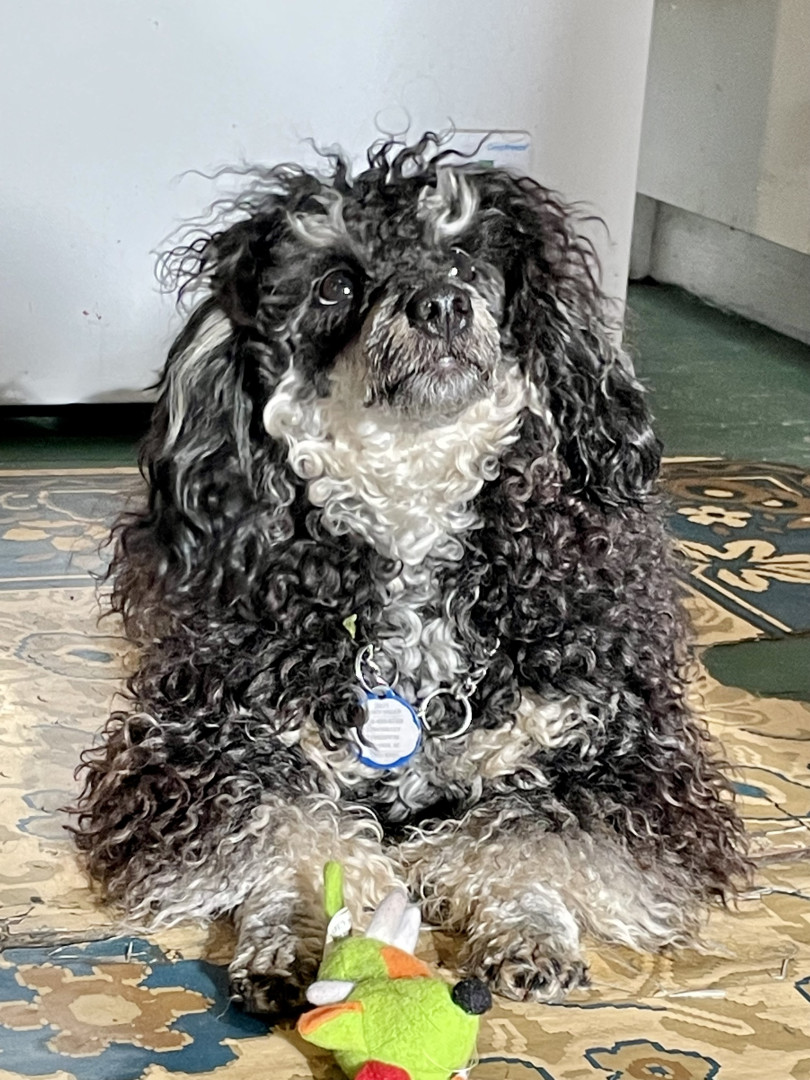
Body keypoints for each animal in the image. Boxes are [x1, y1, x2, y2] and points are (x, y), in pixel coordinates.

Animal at [74, 135, 749, 1015]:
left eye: (464, 257)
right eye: (335, 283)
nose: (441, 305)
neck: (414, 511)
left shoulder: (621, 757)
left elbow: (528, 831)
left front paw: (528, 929)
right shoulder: (207, 749)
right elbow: (295, 831)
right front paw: (292, 932)